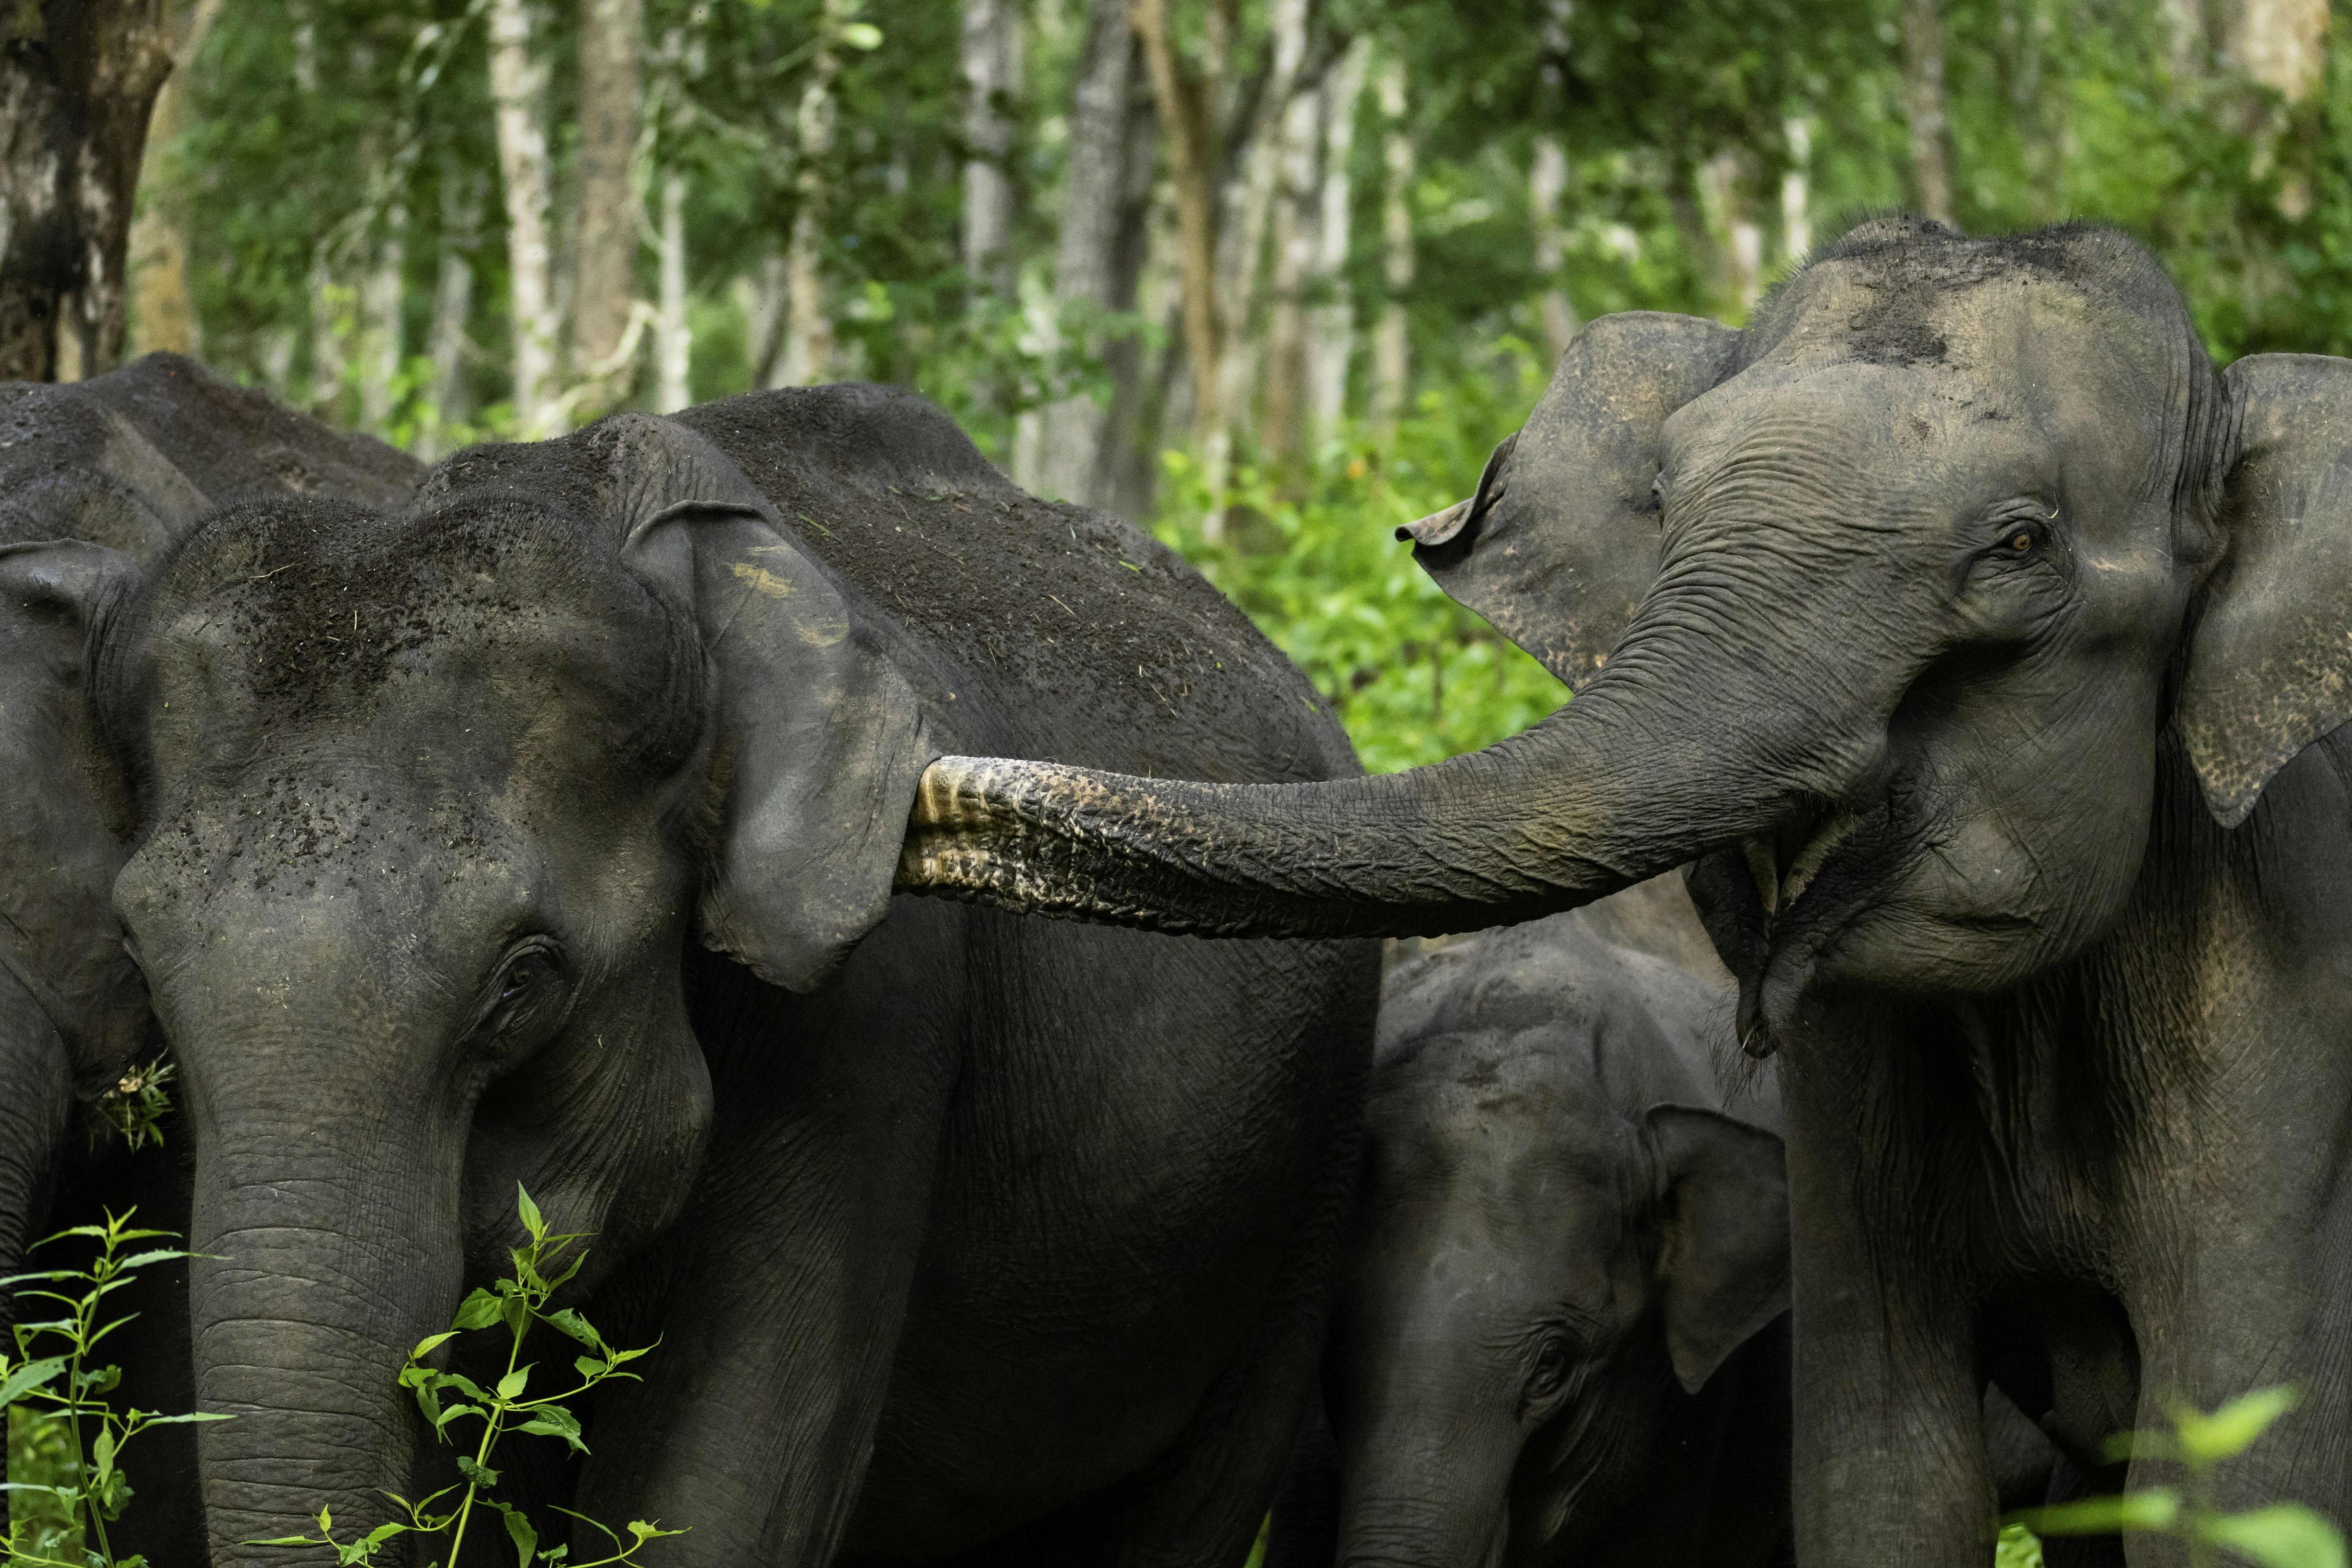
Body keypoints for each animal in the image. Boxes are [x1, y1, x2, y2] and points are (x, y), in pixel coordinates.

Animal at [896, 217, 2352, 1561]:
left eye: (2019, 542)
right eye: (1660, 496)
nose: (924, 796)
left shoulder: (2286, 1047)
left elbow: (2233, 1487)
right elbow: (1882, 1475)